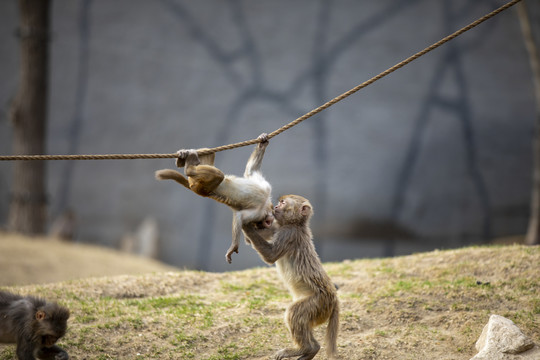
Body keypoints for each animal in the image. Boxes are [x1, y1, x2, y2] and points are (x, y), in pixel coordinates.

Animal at [156, 132, 274, 262]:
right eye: (267, 221)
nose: (270, 219)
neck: (266, 204)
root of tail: (193, 185)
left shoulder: (264, 192)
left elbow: (250, 171)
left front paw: (263, 143)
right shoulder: (259, 211)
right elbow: (240, 215)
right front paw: (233, 246)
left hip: (201, 181)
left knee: (211, 160)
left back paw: (185, 161)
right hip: (203, 185)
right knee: (218, 174)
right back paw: (186, 166)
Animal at [244, 195, 338, 358]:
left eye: (283, 203)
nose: (275, 207)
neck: (295, 224)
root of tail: (334, 298)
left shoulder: (289, 233)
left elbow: (270, 255)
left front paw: (246, 225)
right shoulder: (278, 227)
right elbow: (253, 240)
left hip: (318, 302)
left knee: (294, 313)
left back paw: (304, 348)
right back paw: (312, 349)